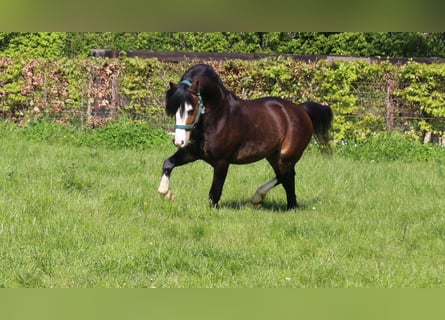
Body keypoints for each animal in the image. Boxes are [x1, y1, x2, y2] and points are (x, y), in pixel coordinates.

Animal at [158, 64, 332, 210]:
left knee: (285, 176)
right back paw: (285, 205)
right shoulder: (192, 153)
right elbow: (168, 164)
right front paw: (167, 193)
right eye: (174, 110)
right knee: (286, 177)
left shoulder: (222, 162)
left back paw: (264, 199)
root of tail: (301, 110)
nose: (179, 141)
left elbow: (215, 192)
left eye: (191, 109)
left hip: (286, 157)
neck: (218, 117)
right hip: (273, 155)